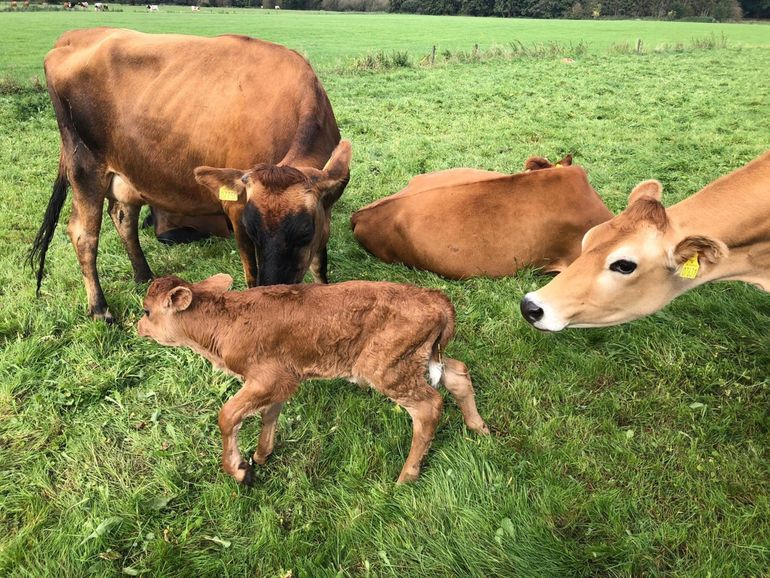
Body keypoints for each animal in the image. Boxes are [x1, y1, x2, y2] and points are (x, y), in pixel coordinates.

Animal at [136, 272, 486, 484]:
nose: (137, 327)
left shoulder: (268, 377)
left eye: (146, 311)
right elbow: (269, 414)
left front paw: (238, 470)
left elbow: (227, 415)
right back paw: (478, 428)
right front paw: (261, 455)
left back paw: (406, 476)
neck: (224, 322)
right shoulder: (281, 379)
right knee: (458, 373)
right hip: (420, 359)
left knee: (429, 407)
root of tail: (435, 297)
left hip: (387, 368)